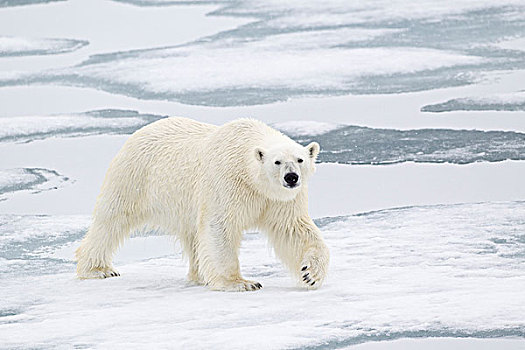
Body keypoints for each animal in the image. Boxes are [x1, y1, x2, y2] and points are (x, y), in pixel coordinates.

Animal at [74, 117, 328, 290]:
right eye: (277, 162)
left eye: (300, 159)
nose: (291, 177)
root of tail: (138, 133)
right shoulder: (227, 182)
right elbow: (220, 227)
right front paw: (240, 282)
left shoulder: (278, 199)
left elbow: (293, 229)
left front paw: (310, 273)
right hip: (136, 177)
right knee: (111, 220)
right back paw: (98, 269)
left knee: (193, 236)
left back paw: (200, 276)